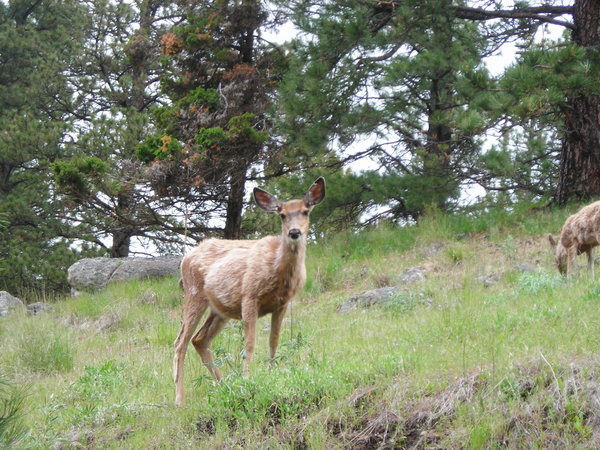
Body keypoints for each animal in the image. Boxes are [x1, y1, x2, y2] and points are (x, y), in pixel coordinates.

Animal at [171, 178, 326, 406]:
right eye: (282, 214)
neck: (279, 272)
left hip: (219, 309)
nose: (294, 232)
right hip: (193, 293)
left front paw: (270, 374)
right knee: (180, 343)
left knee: (199, 339)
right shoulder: (249, 296)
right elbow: (249, 344)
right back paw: (180, 399)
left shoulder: (282, 303)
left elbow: (273, 341)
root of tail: (185, 258)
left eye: (305, 211)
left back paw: (224, 385)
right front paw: (247, 380)